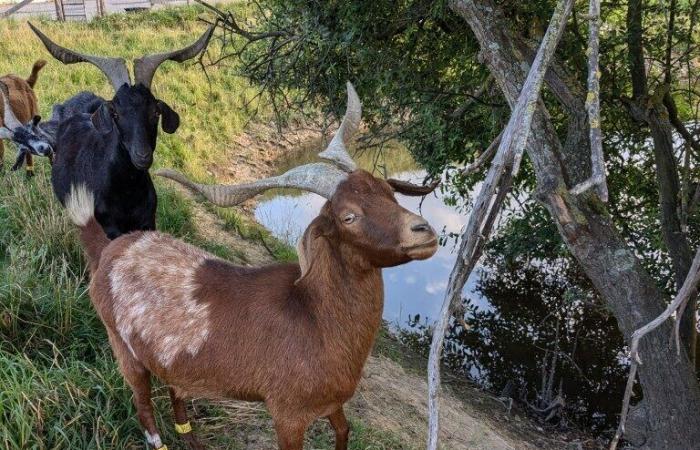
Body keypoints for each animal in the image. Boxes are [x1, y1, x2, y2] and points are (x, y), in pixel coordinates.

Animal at [28, 22, 213, 239]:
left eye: (155, 112)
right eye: (115, 113)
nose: (142, 156)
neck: (127, 192)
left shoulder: (147, 221)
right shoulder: (110, 228)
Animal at [65, 84, 438, 450]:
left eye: (388, 191)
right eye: (348, 216)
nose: (423, 231)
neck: (313, 316)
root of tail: (109, 248)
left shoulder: (333, 404)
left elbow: (344, 433)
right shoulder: (287, 413)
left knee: (177, 400)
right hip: (122, 347)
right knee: (144, 410)